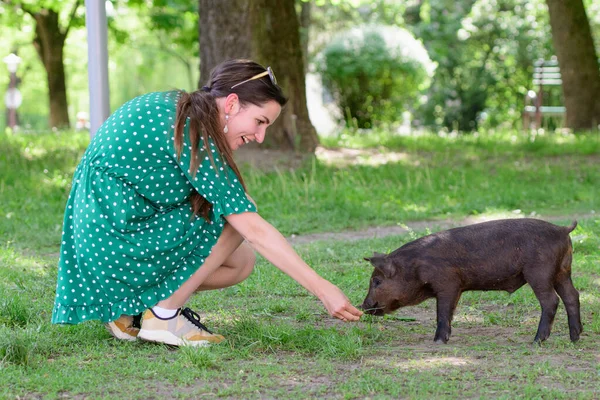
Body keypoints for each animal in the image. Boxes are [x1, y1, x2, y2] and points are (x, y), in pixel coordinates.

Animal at [360, 219, 580, 344]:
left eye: (377, 281)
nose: (363, 306)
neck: (414, 268)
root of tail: (562, 230)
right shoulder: (458, 288)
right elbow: (450, 312)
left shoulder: (448, 283)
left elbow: (442, 312)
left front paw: (437, 342)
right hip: (563, 271)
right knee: (572, 296)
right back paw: (574, 338)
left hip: (539, 272)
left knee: (552, 300)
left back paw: (536, 341)